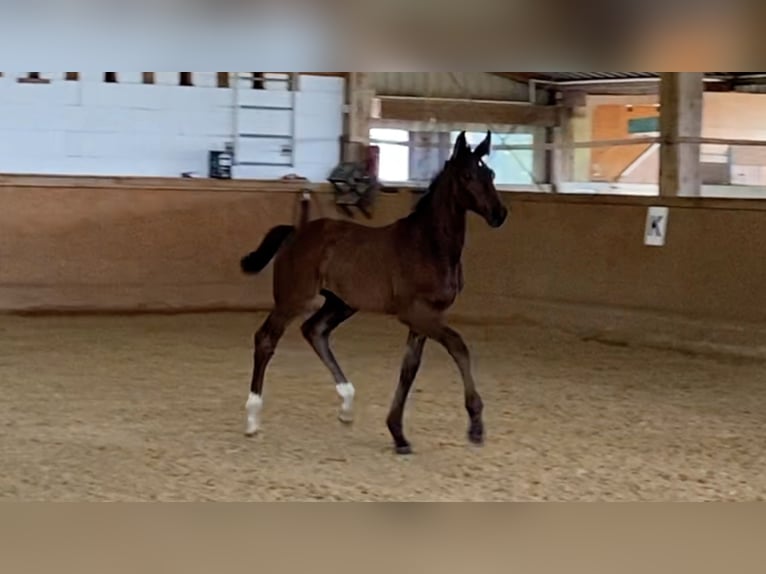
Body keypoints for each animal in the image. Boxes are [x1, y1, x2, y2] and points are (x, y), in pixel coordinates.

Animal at [240, 130, 510, 454]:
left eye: (490, 174)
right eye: (468, 175)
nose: (499, 214)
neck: (428, 245)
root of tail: (295, 231)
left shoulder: (424, 319)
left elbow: (409, 369)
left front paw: (398, 435)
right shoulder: (416, 313)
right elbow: (458, 347)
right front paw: (475, 425)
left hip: (341, 304)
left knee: (314, 331)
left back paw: (346, 405)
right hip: (294, 298)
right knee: (266, 338)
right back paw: (252, 419)